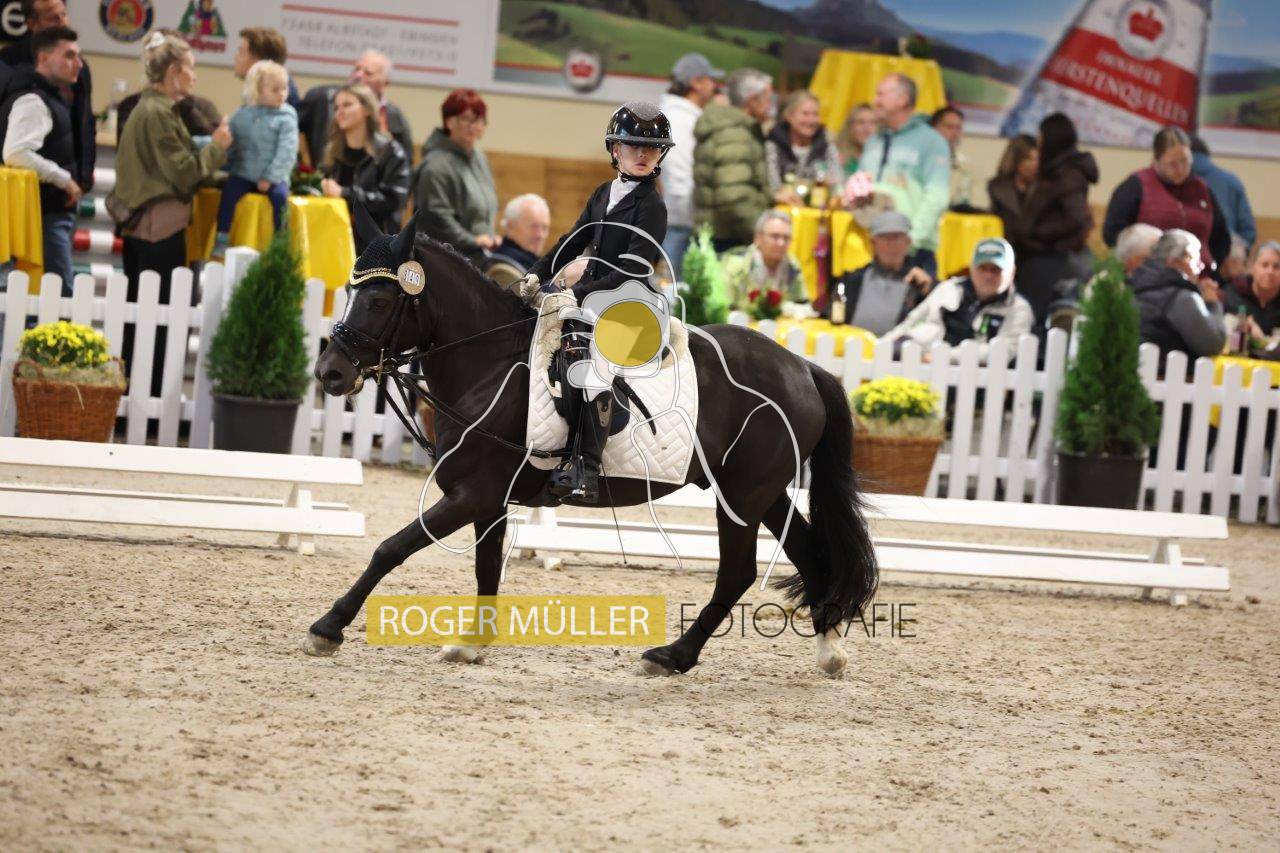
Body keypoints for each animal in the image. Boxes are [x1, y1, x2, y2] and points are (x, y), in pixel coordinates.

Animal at [305, 221, 878, 676]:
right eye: (352, 293)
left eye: (381, 301)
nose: (329, 373)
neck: (489, 364)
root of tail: (803, 367)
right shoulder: (488, 501)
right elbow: (486, 568)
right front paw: (469, 646)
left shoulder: (473, 494)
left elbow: (391, 548)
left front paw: (328, 627)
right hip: (761, 492)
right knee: (809, 554)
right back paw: (828, 651)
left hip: (741, 495)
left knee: (737, 572)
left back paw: (673, 656)